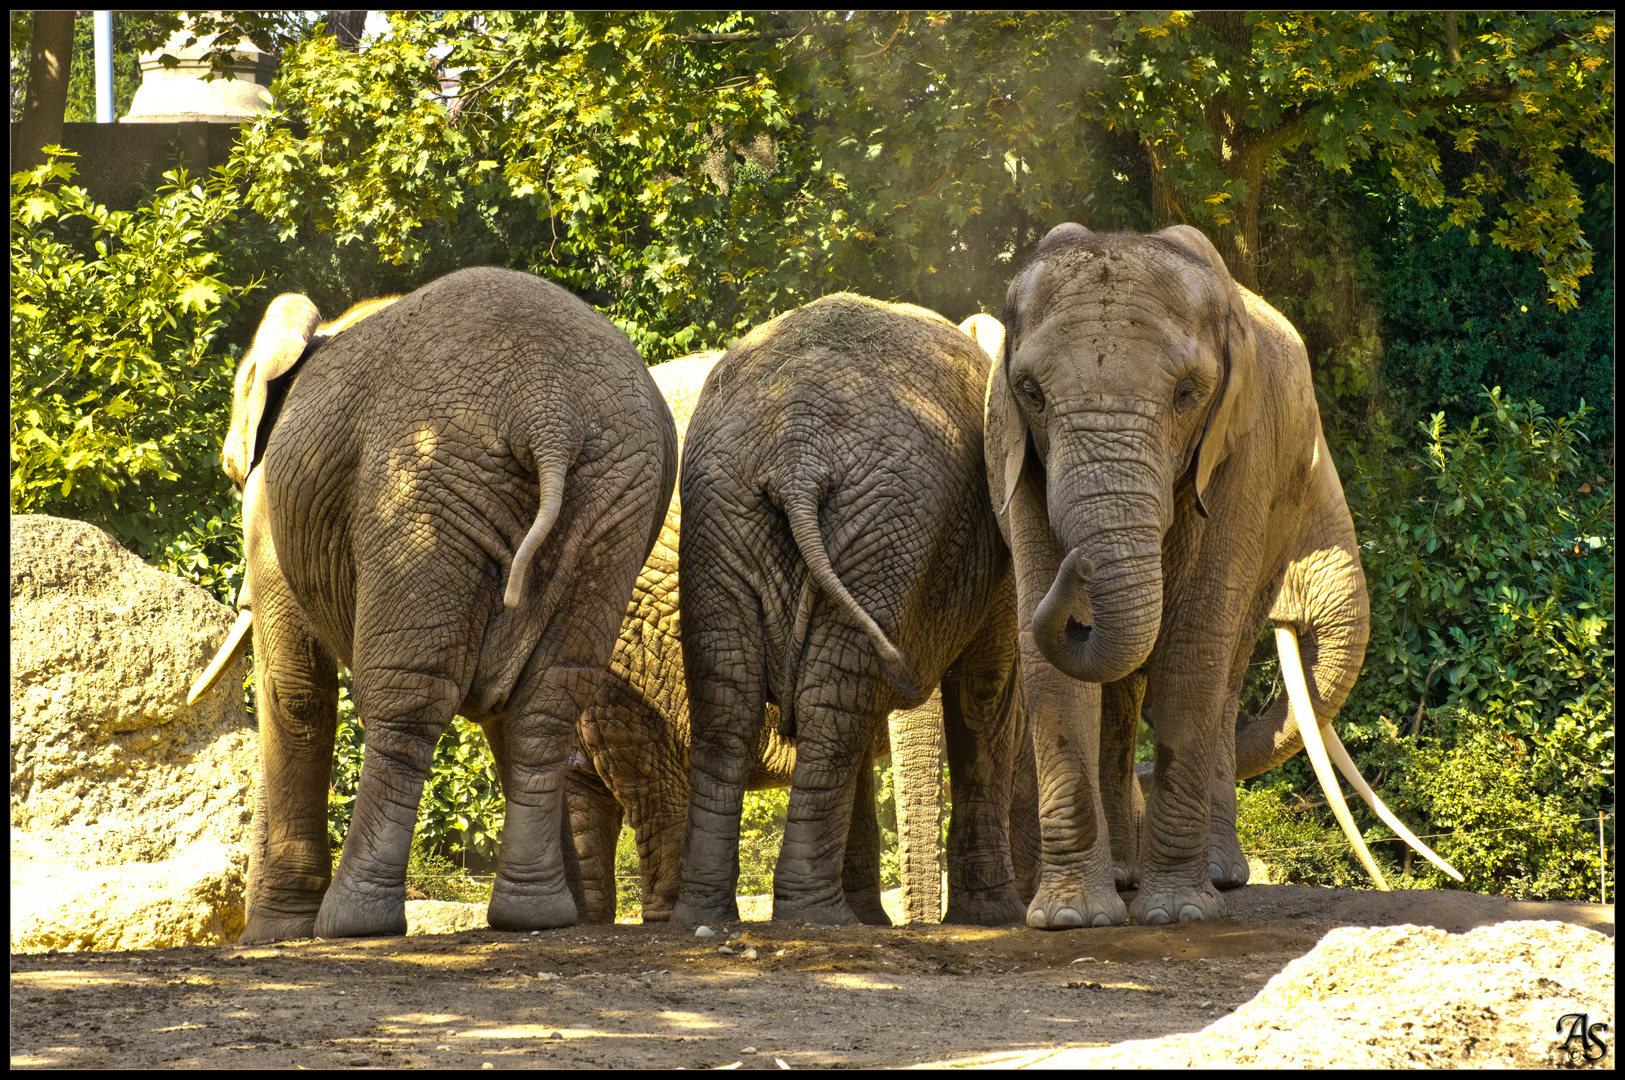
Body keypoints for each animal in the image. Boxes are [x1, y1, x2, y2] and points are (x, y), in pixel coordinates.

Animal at [186, 264, 676, 941]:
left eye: (233, 474)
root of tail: (550, 414)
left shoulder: (271, 512)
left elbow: (295, 690)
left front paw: (271, 935)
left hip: (421, 483)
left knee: (406, 699)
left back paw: (353, 923)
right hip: (614, 499)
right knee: (545, 702)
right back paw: (536, 917)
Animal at [988, 220, 1462, 928]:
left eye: (1188, 393)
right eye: (1032, 394)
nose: (1081, 567)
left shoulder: (1243, 454)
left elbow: (1194, 644)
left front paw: (1177, 915)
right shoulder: (1015, 453)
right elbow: (1047, 661)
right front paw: (1074, 920)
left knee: (1222, 667)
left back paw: (1214, 878)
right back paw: (1128, 875)